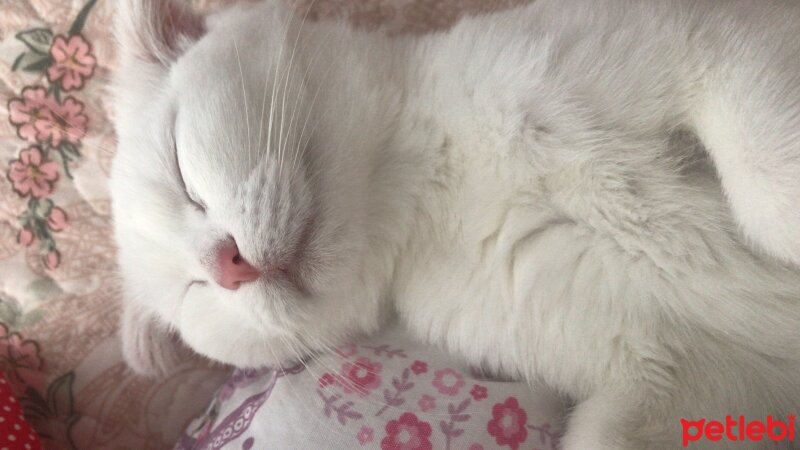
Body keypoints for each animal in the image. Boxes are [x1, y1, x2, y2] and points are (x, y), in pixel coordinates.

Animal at [111, 1, 800, 448]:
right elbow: (616, 432)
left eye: (180, 169)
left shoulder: (710, 38)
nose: (224, 267)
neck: (430, 181)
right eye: (193, 293)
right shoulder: (688, 378)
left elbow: (768, 184)